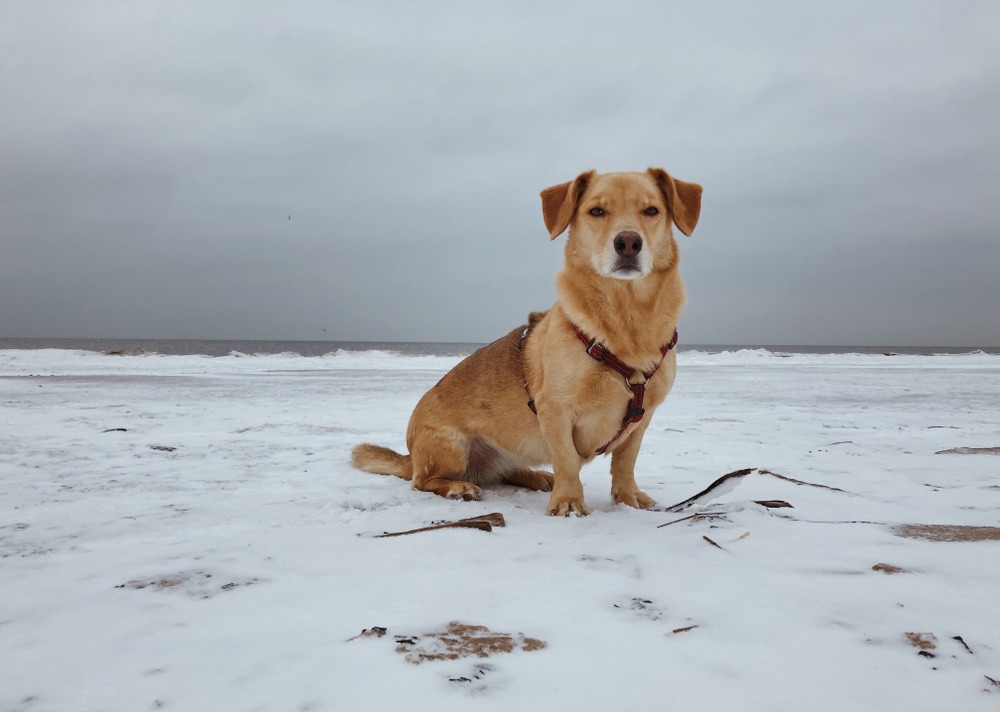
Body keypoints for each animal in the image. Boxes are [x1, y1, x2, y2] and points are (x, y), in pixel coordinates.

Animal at [352, 168, 704, 516]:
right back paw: (458, 487)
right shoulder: (556, 411)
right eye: (596, 212)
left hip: (507, 451)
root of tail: (410, 456)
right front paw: (568, 502)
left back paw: (536, 477)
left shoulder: (642, 419)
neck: (626, 319)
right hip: (453, 448)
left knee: (503, 473)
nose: (629, 242)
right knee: (424, 481)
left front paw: (628, 497)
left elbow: (625, 462)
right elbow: (567, 461)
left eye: (651, 211)